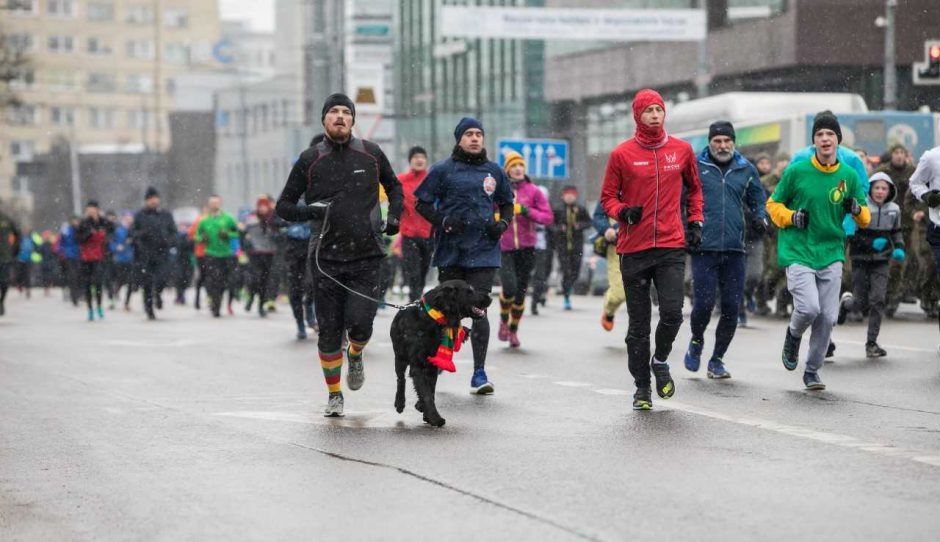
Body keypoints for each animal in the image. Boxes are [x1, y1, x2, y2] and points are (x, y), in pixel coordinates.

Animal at [390, 280, 492, 430]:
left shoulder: (432, 363)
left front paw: (424, 411)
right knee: (400, 379)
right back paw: (399, 403)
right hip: (399, 356)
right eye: (469, 291)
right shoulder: (418, 364)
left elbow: (430, 390)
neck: (431, 318)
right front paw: (435, 418)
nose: (490, 298)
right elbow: (426, 393)